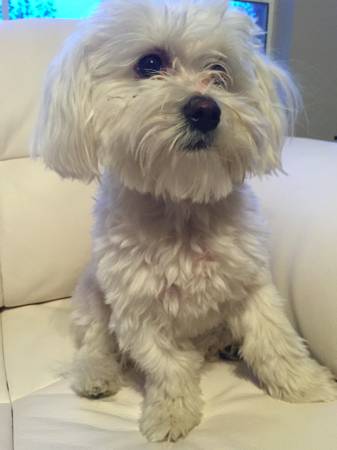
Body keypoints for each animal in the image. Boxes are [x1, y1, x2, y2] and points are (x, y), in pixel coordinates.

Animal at [32, 0, 334, 442]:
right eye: (149, 63)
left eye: (220, 70)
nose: (206, 109)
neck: (182, 201)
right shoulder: (137, 309)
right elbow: (167, 365)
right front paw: (171, 414)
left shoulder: (251, 285)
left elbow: (274, 339)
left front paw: (307, 385)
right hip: (93, 296)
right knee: (97, 342)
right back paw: (95, 374)